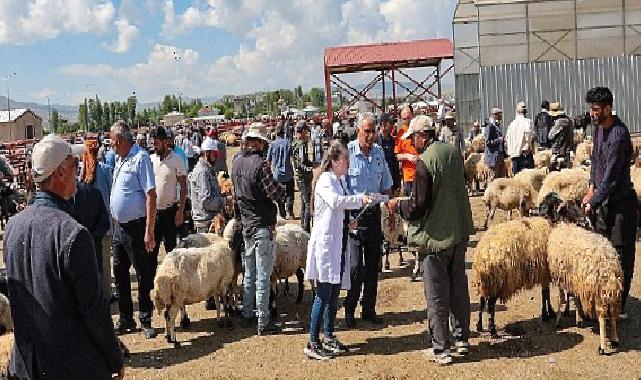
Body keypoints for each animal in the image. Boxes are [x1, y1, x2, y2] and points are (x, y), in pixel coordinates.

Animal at [544, 223, 624, 356]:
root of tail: (609, 263)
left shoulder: (561, 277)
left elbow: (561, 299)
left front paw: (558, 321)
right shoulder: (575, 280)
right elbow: (575, 297)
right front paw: (579, 318)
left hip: (597, 288)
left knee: (602, 314)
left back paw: (602, 346)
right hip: (608, 289)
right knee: (612, 311)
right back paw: (614, 338)